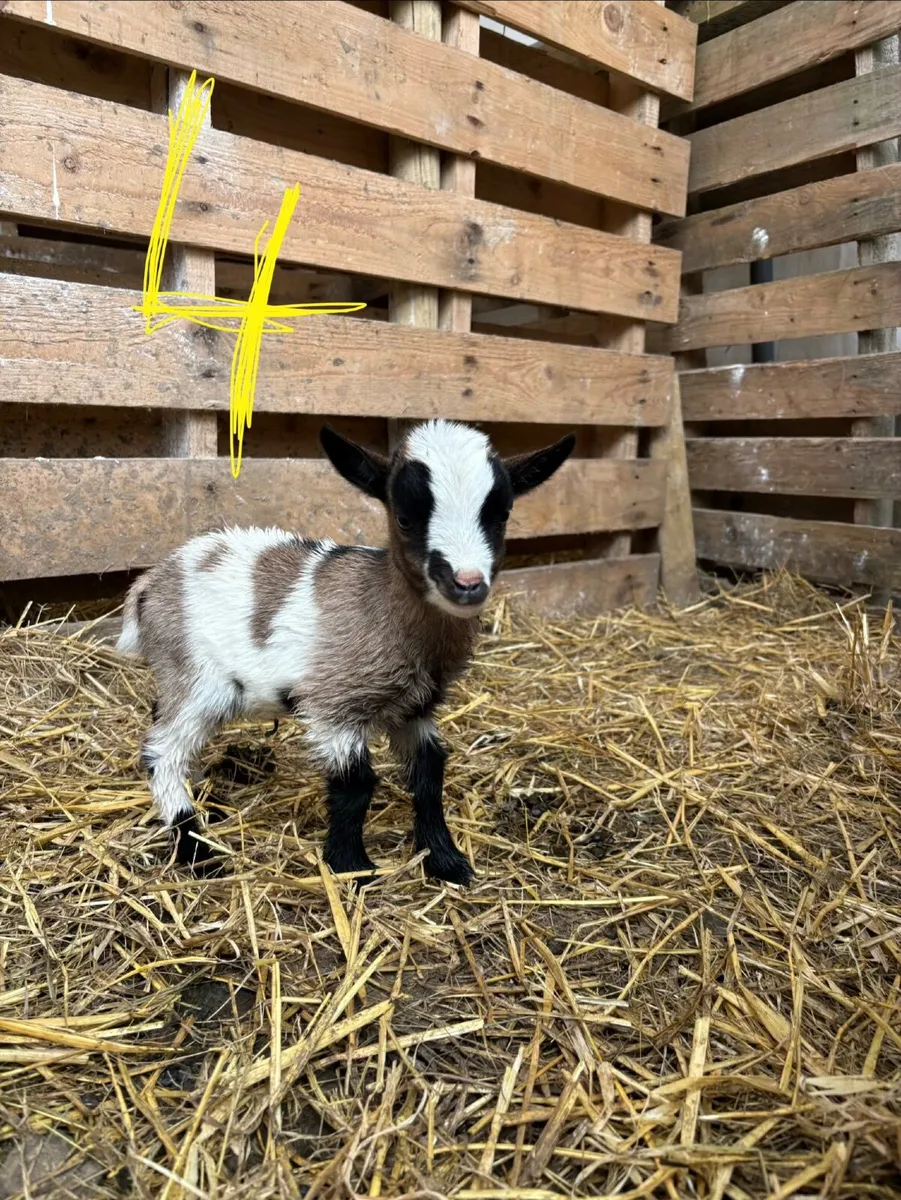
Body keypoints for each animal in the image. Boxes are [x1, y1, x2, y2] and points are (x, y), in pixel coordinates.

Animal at [116, 419, 574, 885]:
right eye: (404, 518)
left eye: (501, 516)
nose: (467, 584)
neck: (384, 607)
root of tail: (148, 584)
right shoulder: (335, 706)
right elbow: (356, 785)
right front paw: (352, 867)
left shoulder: (416, 709)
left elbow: (429, 775)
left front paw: (445, 860)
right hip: (196, 677)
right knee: (162, 753)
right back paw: (196, 849)